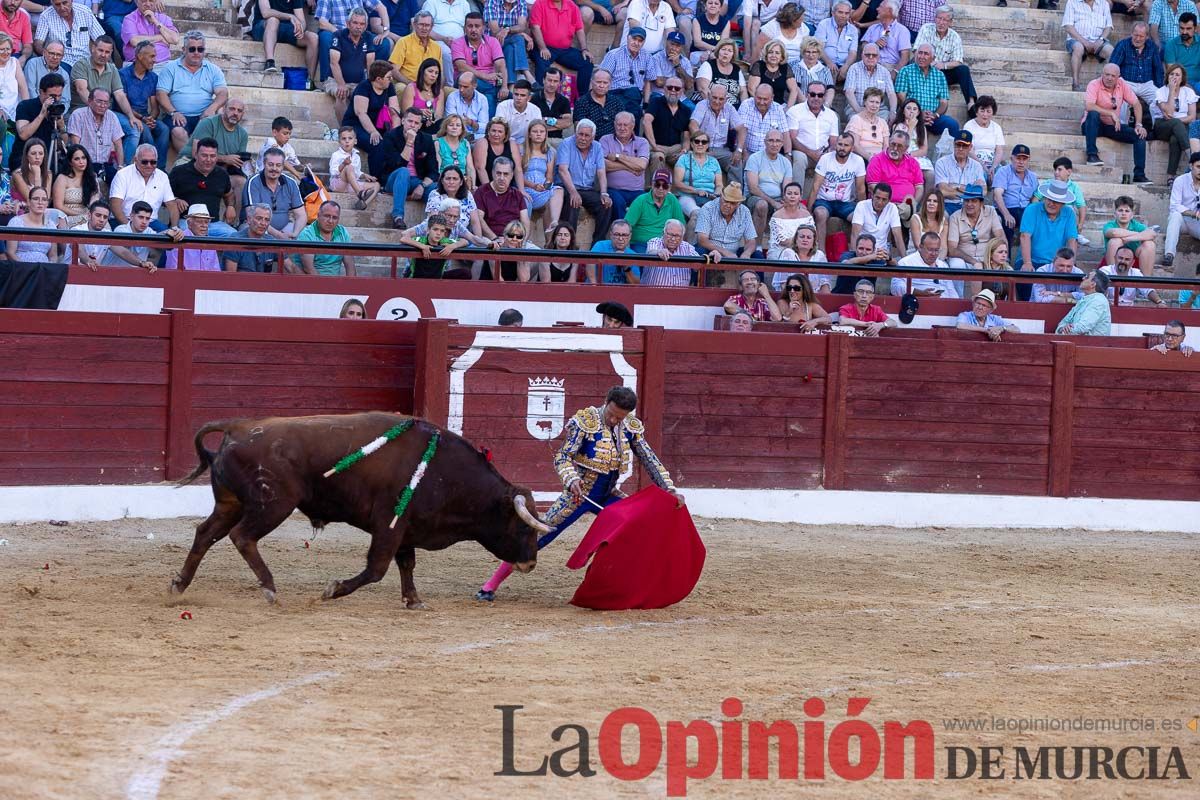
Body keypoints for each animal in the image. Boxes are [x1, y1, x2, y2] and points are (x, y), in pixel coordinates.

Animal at [170, 412, 552, 606]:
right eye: (523, 526)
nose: (531, 564)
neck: (445, 471)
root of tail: (237, 428)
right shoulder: (388, 526)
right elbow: (377, 569)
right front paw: (333, 589)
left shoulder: (406, 526)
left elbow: (406, 564)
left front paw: (413, 600)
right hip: (274, 504)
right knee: (242, 537)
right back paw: (269, 587)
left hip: (230, 503)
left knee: (205, 534)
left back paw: (179, 585)